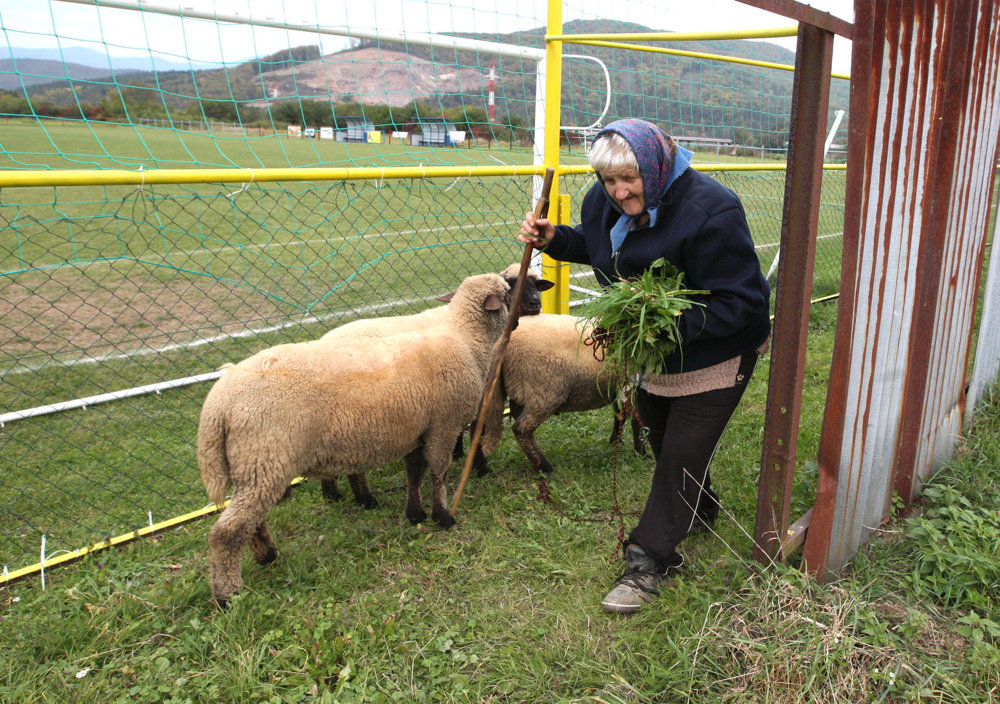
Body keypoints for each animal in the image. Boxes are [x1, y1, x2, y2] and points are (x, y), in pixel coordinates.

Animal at [196, 272, 512, 604]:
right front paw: (443, 516)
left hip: (254, 466)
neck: (464, 339)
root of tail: (217, 406)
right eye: (508, 292)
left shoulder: (416, 431)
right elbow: (437, 473)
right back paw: (227, 595)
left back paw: (266, 555)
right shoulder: (443, 427)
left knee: (252, 521)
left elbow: (414, 474)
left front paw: (415, 514)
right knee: (228, 532)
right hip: (264, 460)